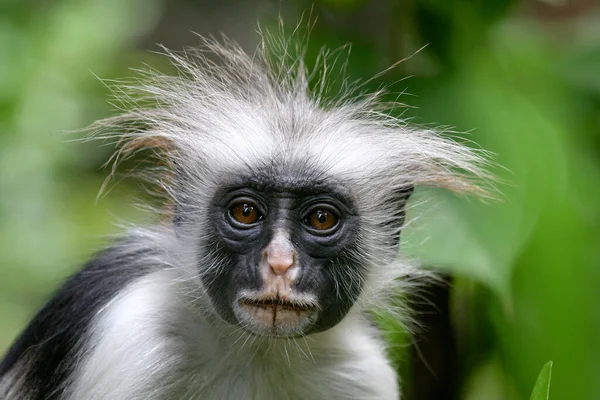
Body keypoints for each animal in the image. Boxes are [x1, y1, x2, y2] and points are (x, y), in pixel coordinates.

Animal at [0, 32, 488, 400]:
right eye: (246, 212)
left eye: (321, 220)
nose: (279, 263)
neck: (256, 351)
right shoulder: (131, 337)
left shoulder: (362, 372)